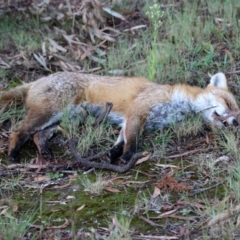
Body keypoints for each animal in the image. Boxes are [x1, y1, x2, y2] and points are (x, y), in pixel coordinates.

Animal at [0, 71, 238, 163]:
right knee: (18, 132)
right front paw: (126, 157)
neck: (179, 103)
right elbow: (132, 141)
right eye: (228, 104)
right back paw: (13, 154)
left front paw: (113, 153)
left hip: (70, 118)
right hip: (50, 113)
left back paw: (45, 152)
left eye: (238, 116)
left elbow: (121, 139)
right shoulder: (138, 110)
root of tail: (40, 79)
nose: (234, 123)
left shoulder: (133, 120)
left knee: (37, 136)